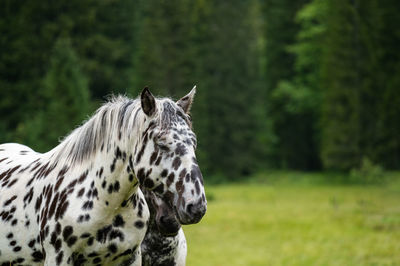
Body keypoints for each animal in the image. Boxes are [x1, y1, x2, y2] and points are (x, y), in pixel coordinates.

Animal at [0, 87, 206, 264]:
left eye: (194, 142)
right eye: (161, 142)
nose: (196, 206)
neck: (105, 203)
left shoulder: (130, 257)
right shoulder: (59, 257)